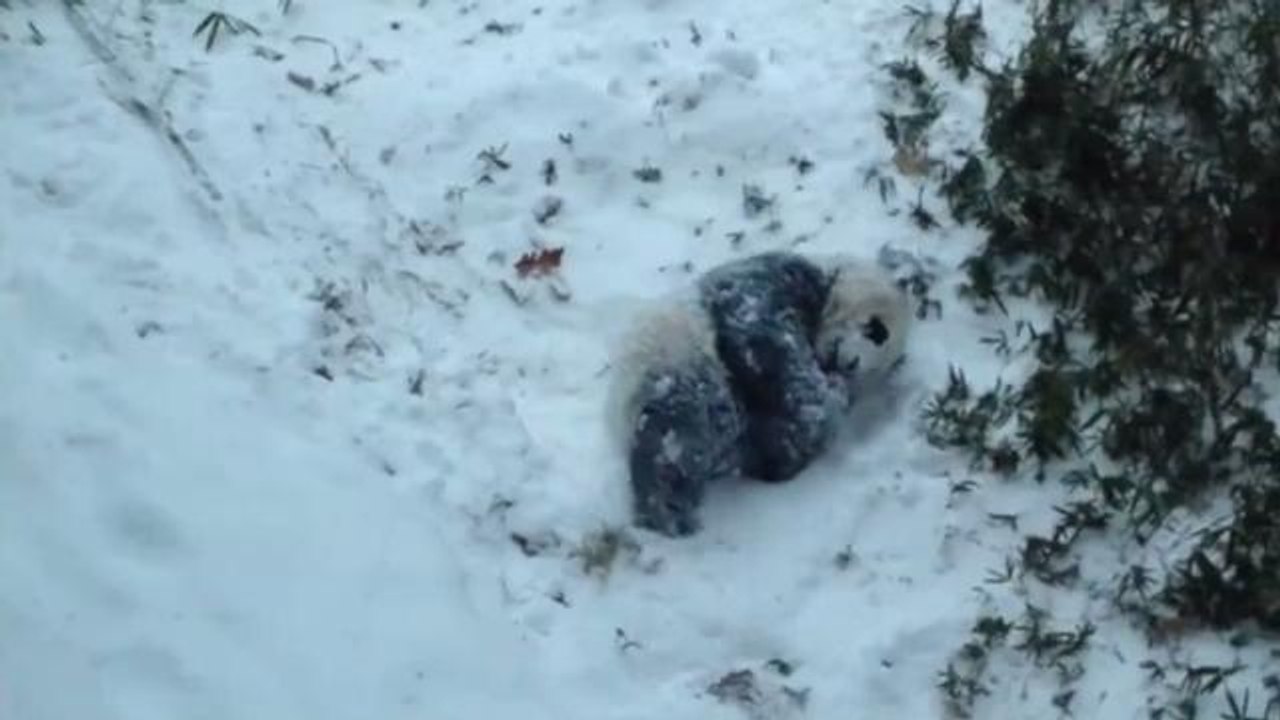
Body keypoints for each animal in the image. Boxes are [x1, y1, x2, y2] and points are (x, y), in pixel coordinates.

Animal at [607, 250, 911, 538]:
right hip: (678, 366)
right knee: (675, 437)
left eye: (877, 367)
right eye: (876, 330)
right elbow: (762, 333)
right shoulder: (765, 281)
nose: (852, 365)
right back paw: (667, 510)